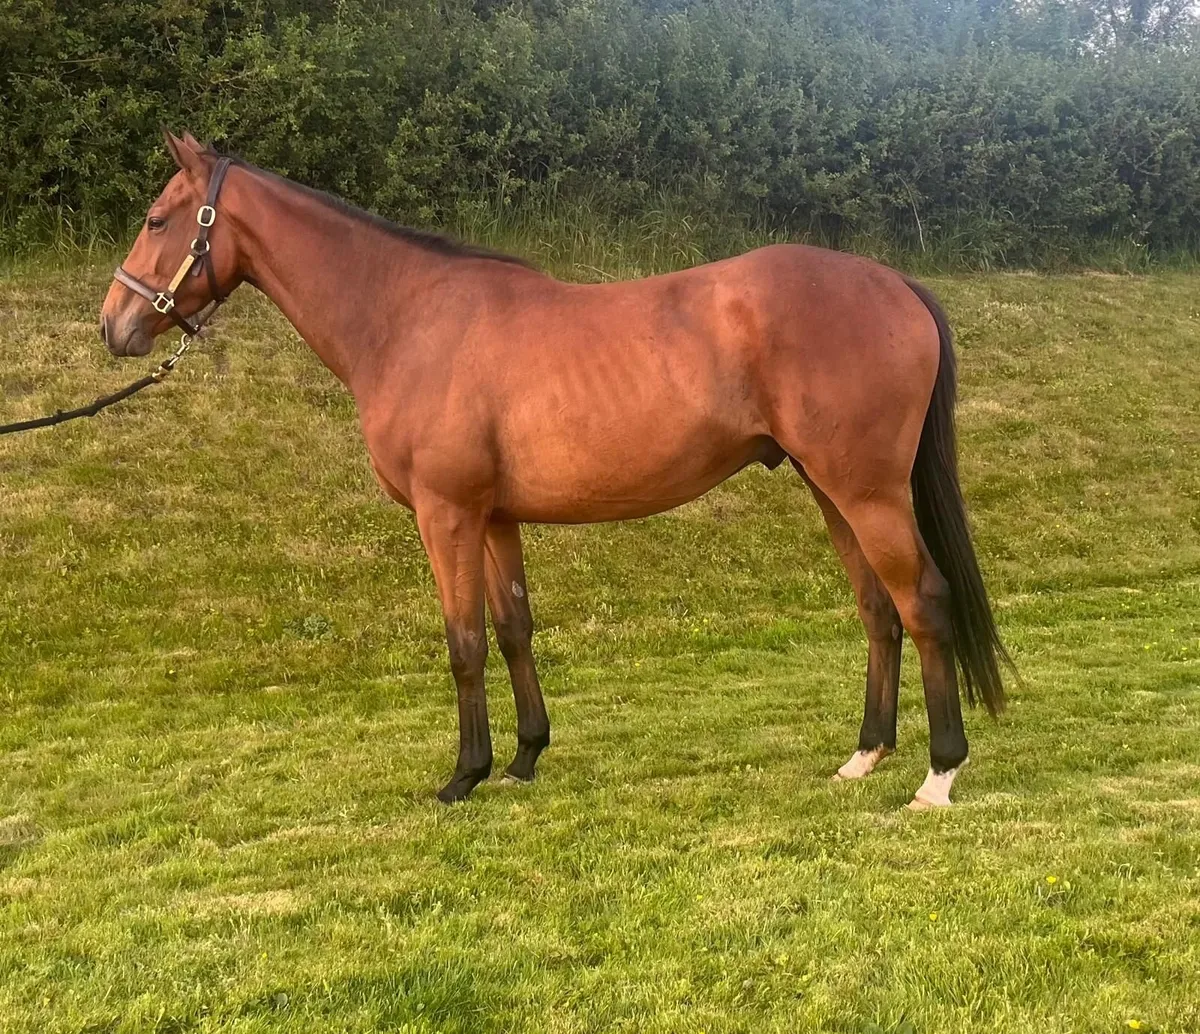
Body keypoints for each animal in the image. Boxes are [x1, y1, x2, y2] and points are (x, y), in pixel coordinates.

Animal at [101, 131, 1011, 808]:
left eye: (157, 218)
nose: (113, 325)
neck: (407, 318)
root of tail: (894, 283)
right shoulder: (494, 517)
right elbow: (513, 628)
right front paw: (523, 759)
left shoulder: (446, 514)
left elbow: (464, 640)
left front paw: (463, 776)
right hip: (830, 489)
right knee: (878, 610)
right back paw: (865, 756)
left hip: (867, 491)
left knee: (922, 602)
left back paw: (938, 774)